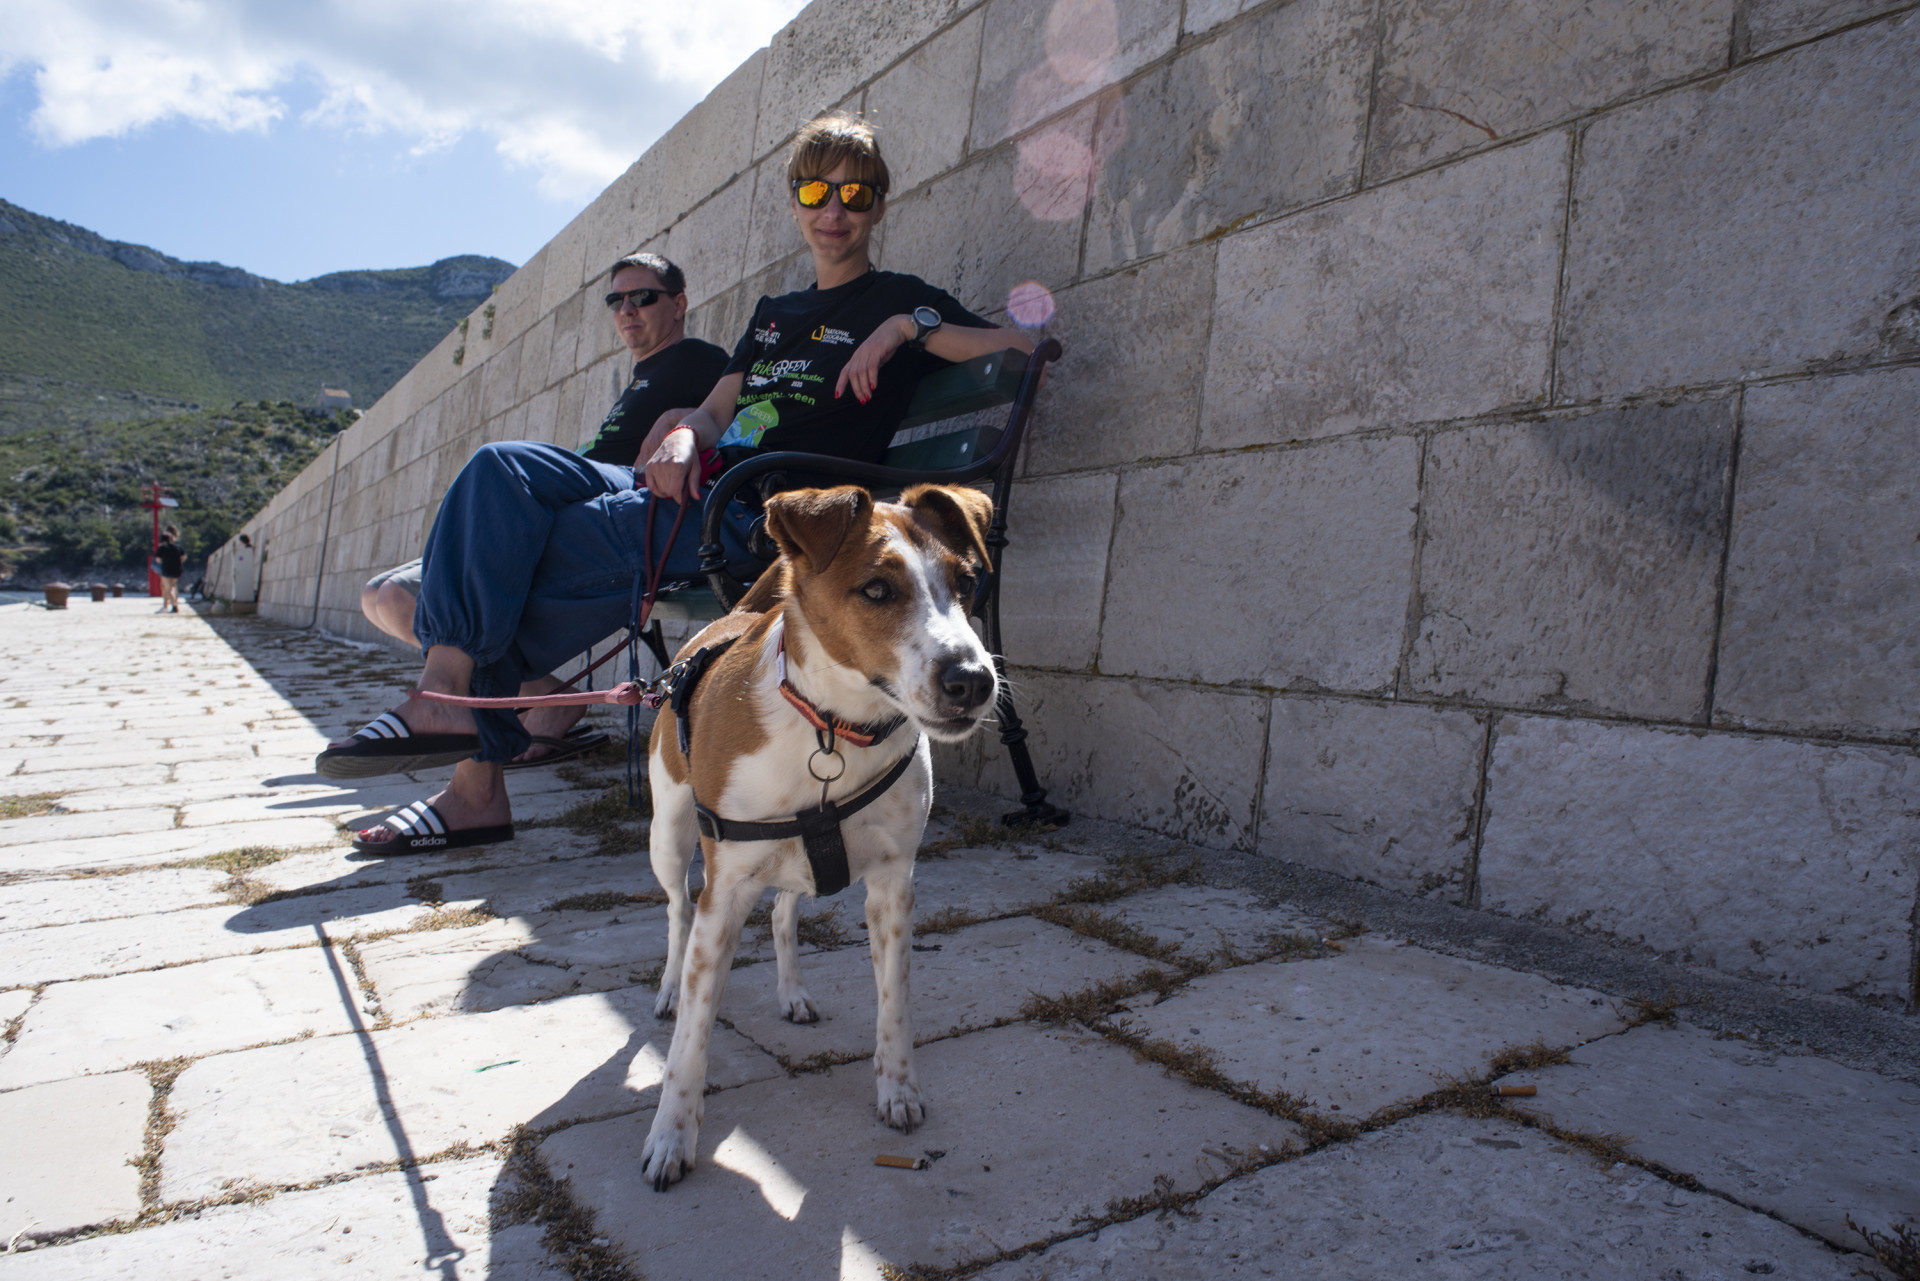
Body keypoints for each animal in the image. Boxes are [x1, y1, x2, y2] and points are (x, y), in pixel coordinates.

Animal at [639, 483, 1001, 1191]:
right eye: (877, 590)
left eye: (968, 582)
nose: (973, 679)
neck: (834, 727)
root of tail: (726, 621)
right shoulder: (723, 895)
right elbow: (691, 1038)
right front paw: (670, 1135)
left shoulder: (893, 884)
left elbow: (894, 1004)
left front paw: (898, 1089)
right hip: (667, 835)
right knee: (675, 910)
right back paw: (667, 987)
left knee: (783, 913)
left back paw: (793, 993)